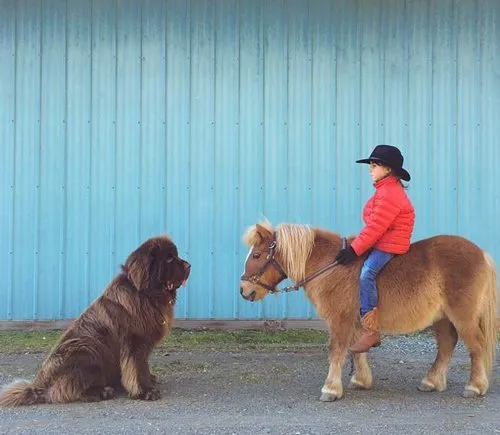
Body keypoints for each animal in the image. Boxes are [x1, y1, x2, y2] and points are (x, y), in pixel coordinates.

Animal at [0, 235, 189, 406]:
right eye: (169, 258)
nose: (189, 265)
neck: (145, 294)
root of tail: (38, 387)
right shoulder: (134, 343)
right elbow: (137, 368)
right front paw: (146, 391)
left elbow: (142, 367)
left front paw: (149, 380)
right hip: (85, 348)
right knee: (65, 390)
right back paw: (103, 391)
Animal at [240, 221, 498, 402]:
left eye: (256, 255)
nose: (244, 290)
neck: (331, 266)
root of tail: (482, 253)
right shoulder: (355, 322)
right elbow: (357, 351)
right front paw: (361, 380)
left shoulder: (340, 320)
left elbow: (336, 351)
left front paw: (331, 389)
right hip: (442, 318)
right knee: (447, 344)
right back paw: (431, 381)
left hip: (462, 315)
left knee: (476, 345)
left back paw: (475, 386)